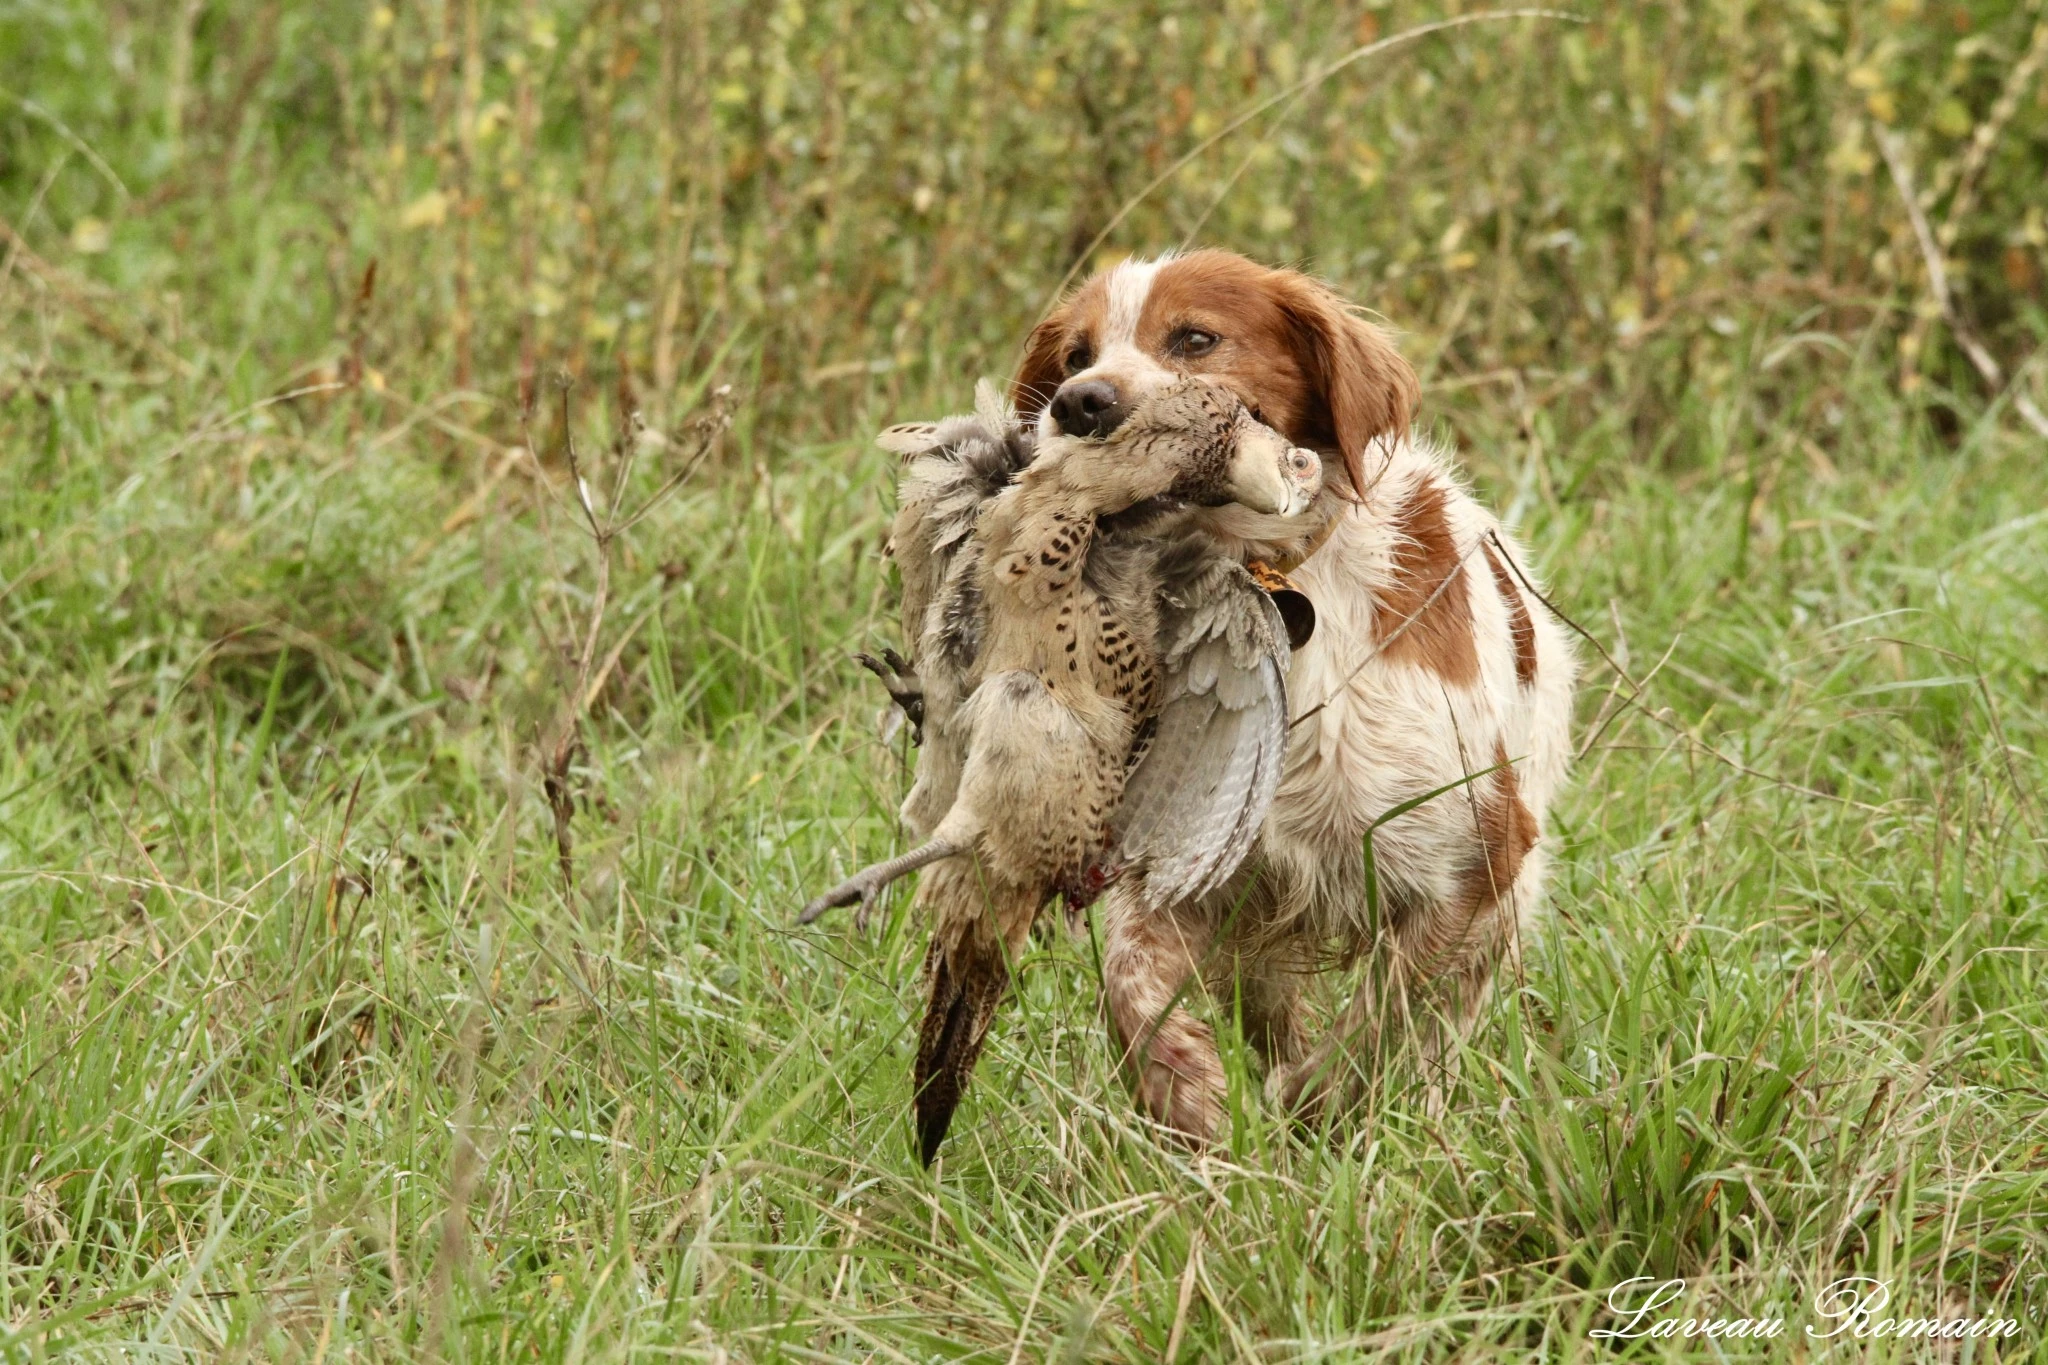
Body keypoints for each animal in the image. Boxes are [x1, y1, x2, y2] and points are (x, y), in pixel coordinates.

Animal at [1015, 248, 1572, 1146]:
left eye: (1195, 338)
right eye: (1075, 355)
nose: (1081, 403)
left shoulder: (1476, 861)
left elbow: (1383, 1021)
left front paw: (1314, 1113)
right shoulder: (1181, 859)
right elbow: (1129, 984)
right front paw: (1192, 1097)